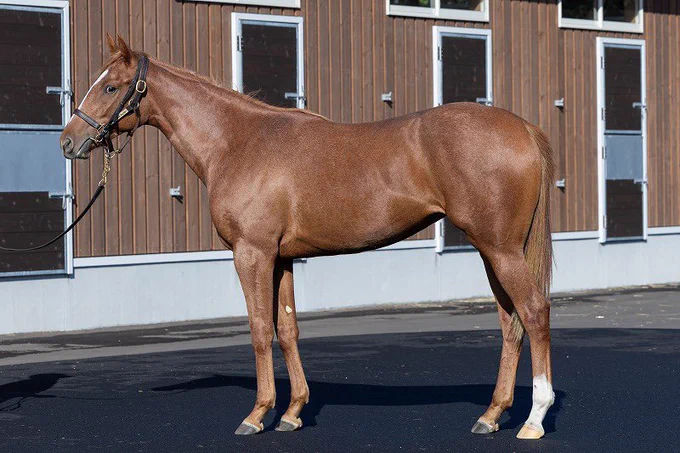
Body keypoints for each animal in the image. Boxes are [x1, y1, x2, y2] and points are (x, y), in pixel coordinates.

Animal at [61, 35, 555, 439]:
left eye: (110, 87)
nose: (69, 141)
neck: (239, 143)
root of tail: (523, 128)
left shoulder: (252, 254)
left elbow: (260, 329)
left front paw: (257, 414)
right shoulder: (281, 259)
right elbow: (288, 329)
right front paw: (292, 412)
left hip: (500, 249)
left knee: (533, 312)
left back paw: (533, 418)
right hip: (492, 252)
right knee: (510, 322)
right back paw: (491, 415)